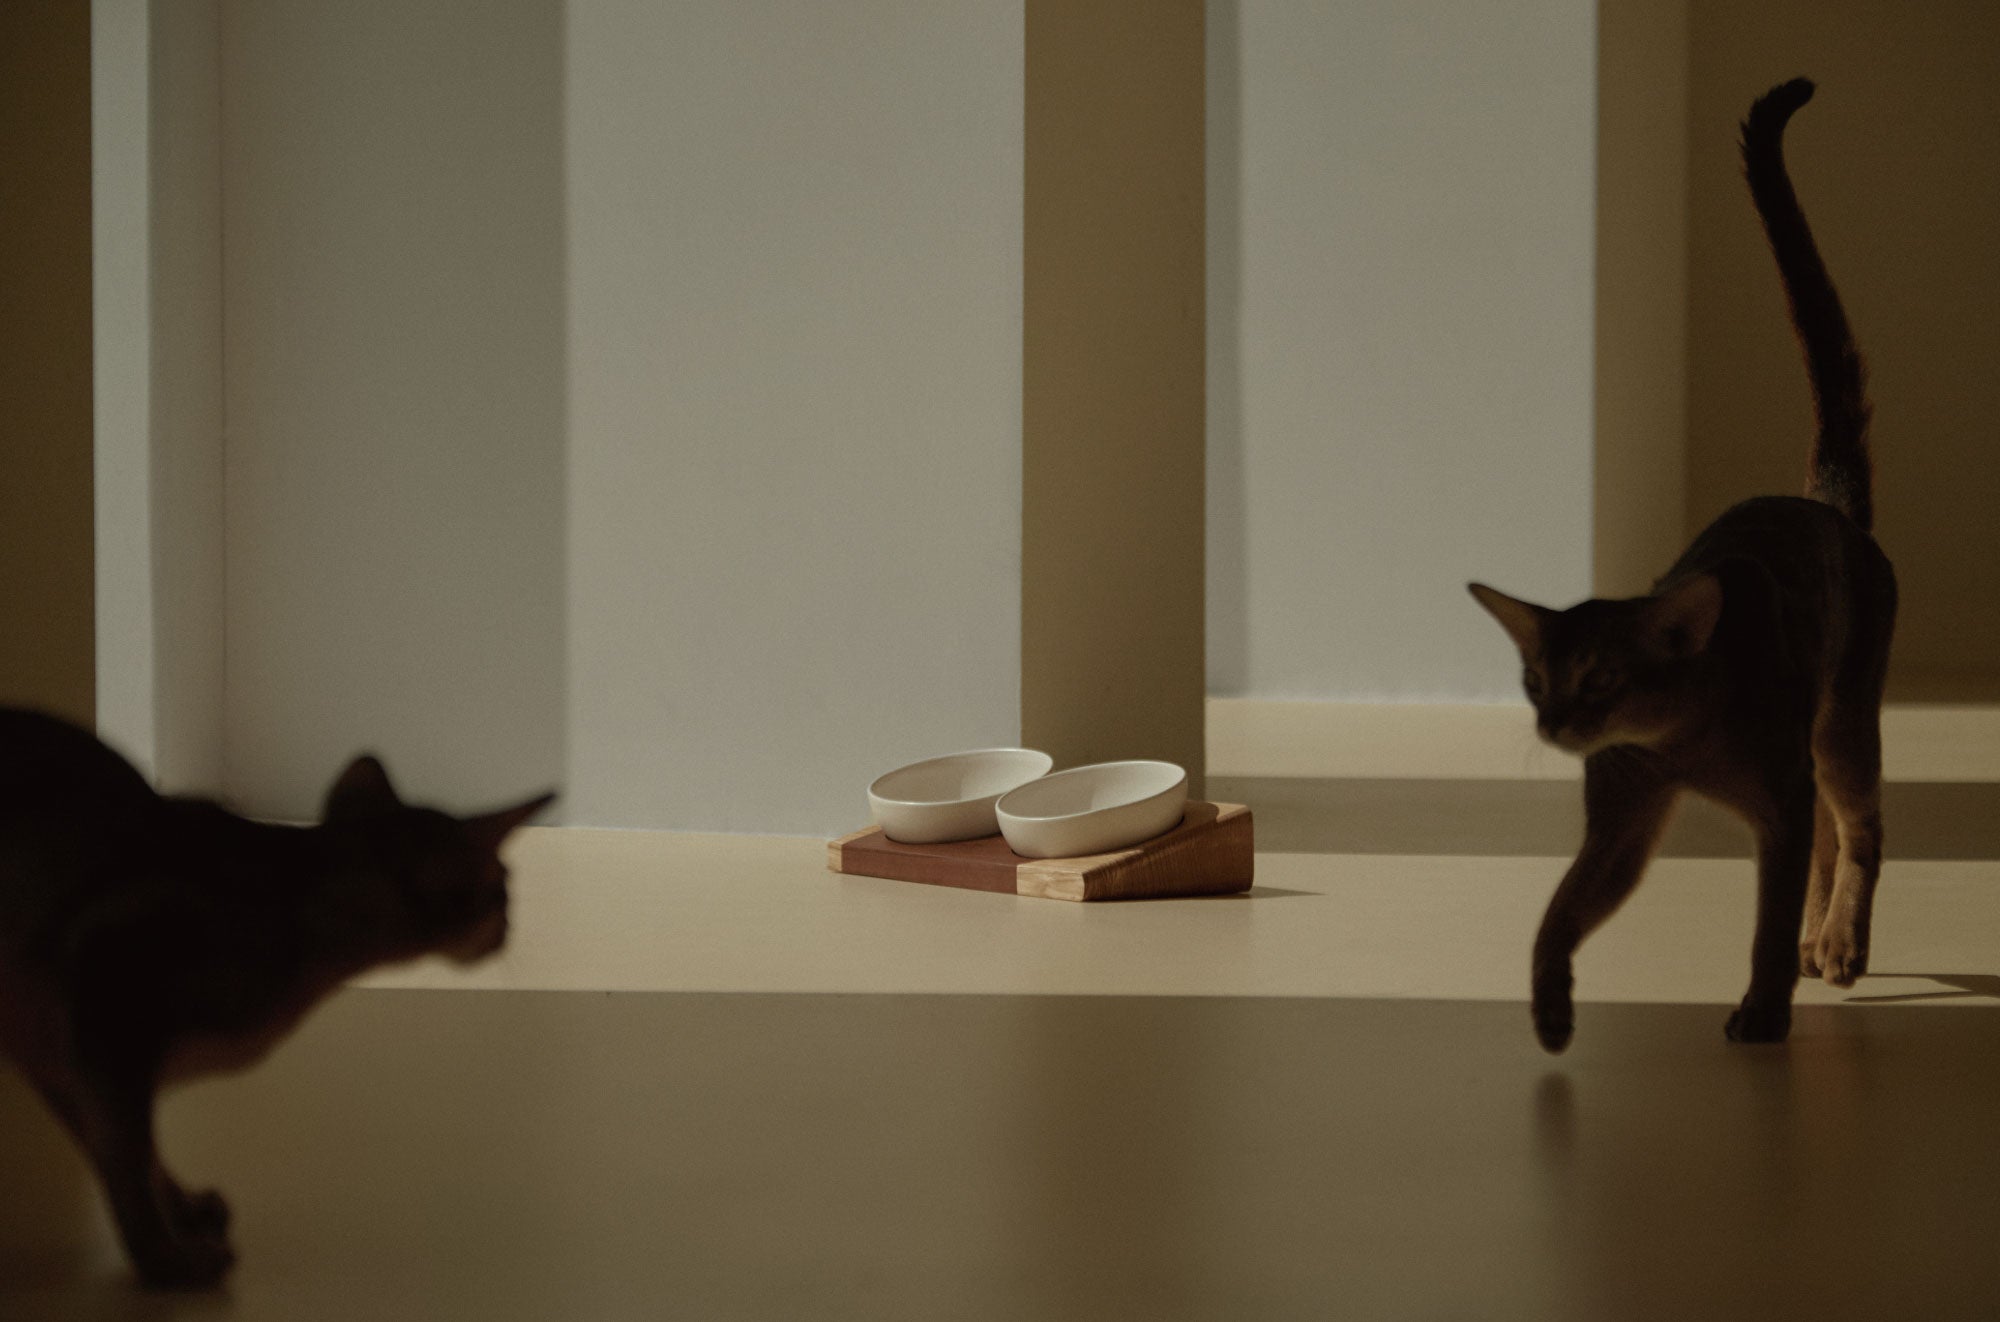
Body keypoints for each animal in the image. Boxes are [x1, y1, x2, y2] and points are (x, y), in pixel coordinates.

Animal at [0, 708, 556, 1280]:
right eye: (504, 892)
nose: (510, 930)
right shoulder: (102, 1010)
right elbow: (123, 1152)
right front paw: (165, 1258)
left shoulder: (58, 1050)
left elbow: (129, 1146)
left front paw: (182, 1214)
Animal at [1464, 80, 1896, 1048]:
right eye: (1536, 681)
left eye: (1601, 680)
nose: (1555, 727)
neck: (1680, 744)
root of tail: (1825, 507)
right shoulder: (1623, 826)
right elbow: (1557, 911)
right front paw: (1550, 1010)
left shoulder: (1776, 804)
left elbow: (1765, 921)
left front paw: (1763, 1012)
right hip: (1818, 745)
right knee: (1831, 835)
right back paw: (1821, 942)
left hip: (1844, 724)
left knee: (1861, 827)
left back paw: (1842, 944)